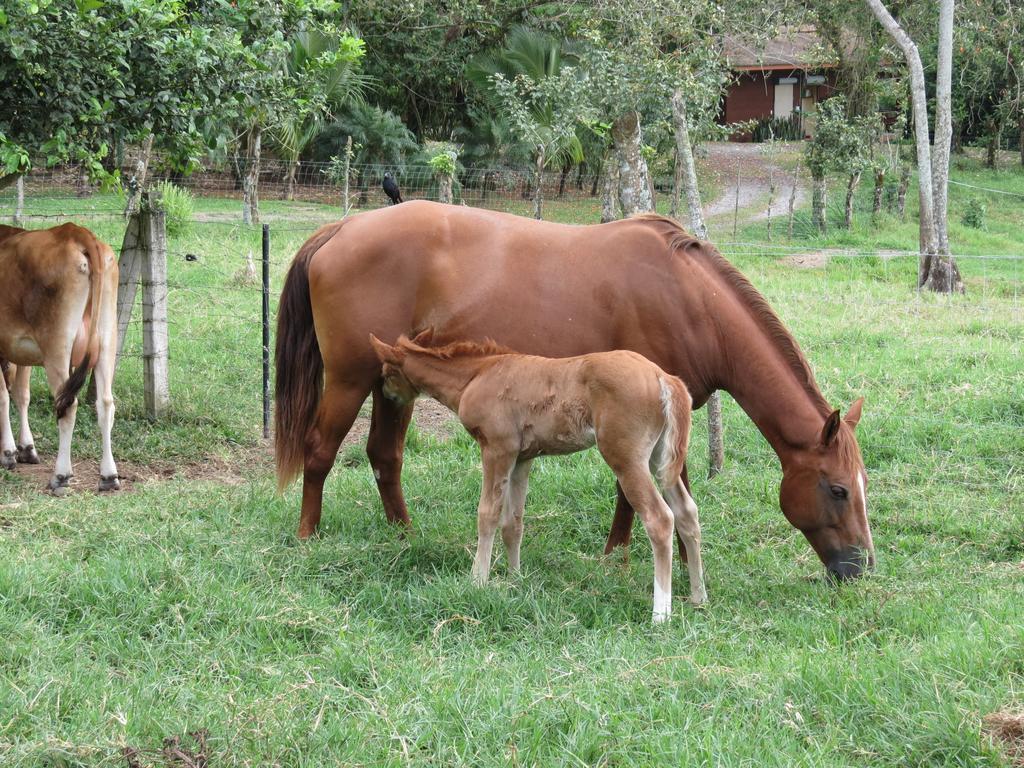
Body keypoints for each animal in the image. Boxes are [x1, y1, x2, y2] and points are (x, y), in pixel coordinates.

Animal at [278, 202, 872, 581]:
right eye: (838, 489)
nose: (861, 568)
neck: (688, 300)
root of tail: (341, 228)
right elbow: (640, 494)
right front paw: (630, 557)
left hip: (393, 386)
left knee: (384, 455)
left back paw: (404, 535)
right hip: (351, 380)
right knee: (320, 451)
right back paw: (308, 536)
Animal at [370, 333, 712, 622]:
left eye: (386, 372)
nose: (387, 394)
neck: (475, 376)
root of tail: (664, 378)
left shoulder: (497, 448)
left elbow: (487, 514)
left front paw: (477, 581)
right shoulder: (522, 458)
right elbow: (513, 523)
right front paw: (514, 580)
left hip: (626, 457)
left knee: (660, 518)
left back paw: (661, 614)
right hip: (659, 458)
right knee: (687, 512)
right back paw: (699, 597)